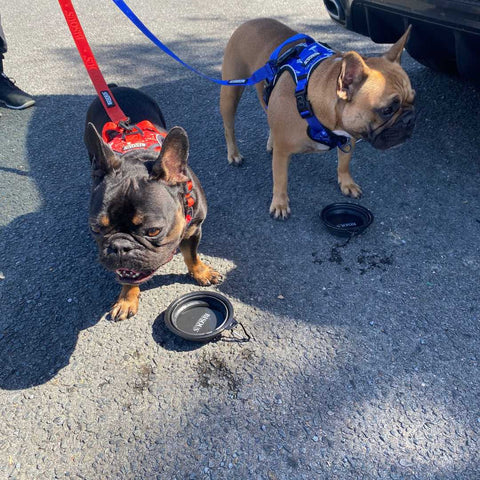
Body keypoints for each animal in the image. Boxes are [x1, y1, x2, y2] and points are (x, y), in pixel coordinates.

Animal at [84, 87, 221, 320]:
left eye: (153, 231)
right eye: (95, 228)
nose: (120, 247)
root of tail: (115, 88)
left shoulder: (194, 230)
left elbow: (192, 255)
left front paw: (201, 272)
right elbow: (128, 276)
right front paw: (126, 299)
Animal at [219, 18, 414, 219]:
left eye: (413, 99)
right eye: (387, 110)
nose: (410, 118)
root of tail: (251, 21)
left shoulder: (348, 137)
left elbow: (344, 163)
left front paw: (347, 183)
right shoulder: (283, 152)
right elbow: (280, 178)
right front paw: (280, 203)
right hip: (231, 92)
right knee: (229, 127)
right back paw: (234, 154)